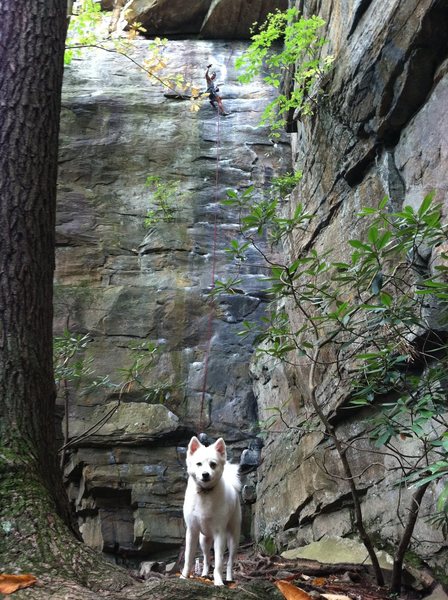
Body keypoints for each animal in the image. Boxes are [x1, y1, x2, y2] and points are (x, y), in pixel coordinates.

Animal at [181, 436, 242, 584]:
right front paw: (184, 577)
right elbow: (188, 558)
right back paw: (204, 574)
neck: (205, 493)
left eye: (213, 464)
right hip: (204, 540)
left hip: (233, 538)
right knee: (206, 558)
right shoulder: (192, 531)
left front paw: (218, 581)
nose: (205, 474)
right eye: (198, 464)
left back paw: (229, 578)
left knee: (230, 562)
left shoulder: (220, 534)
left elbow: (219, 562)